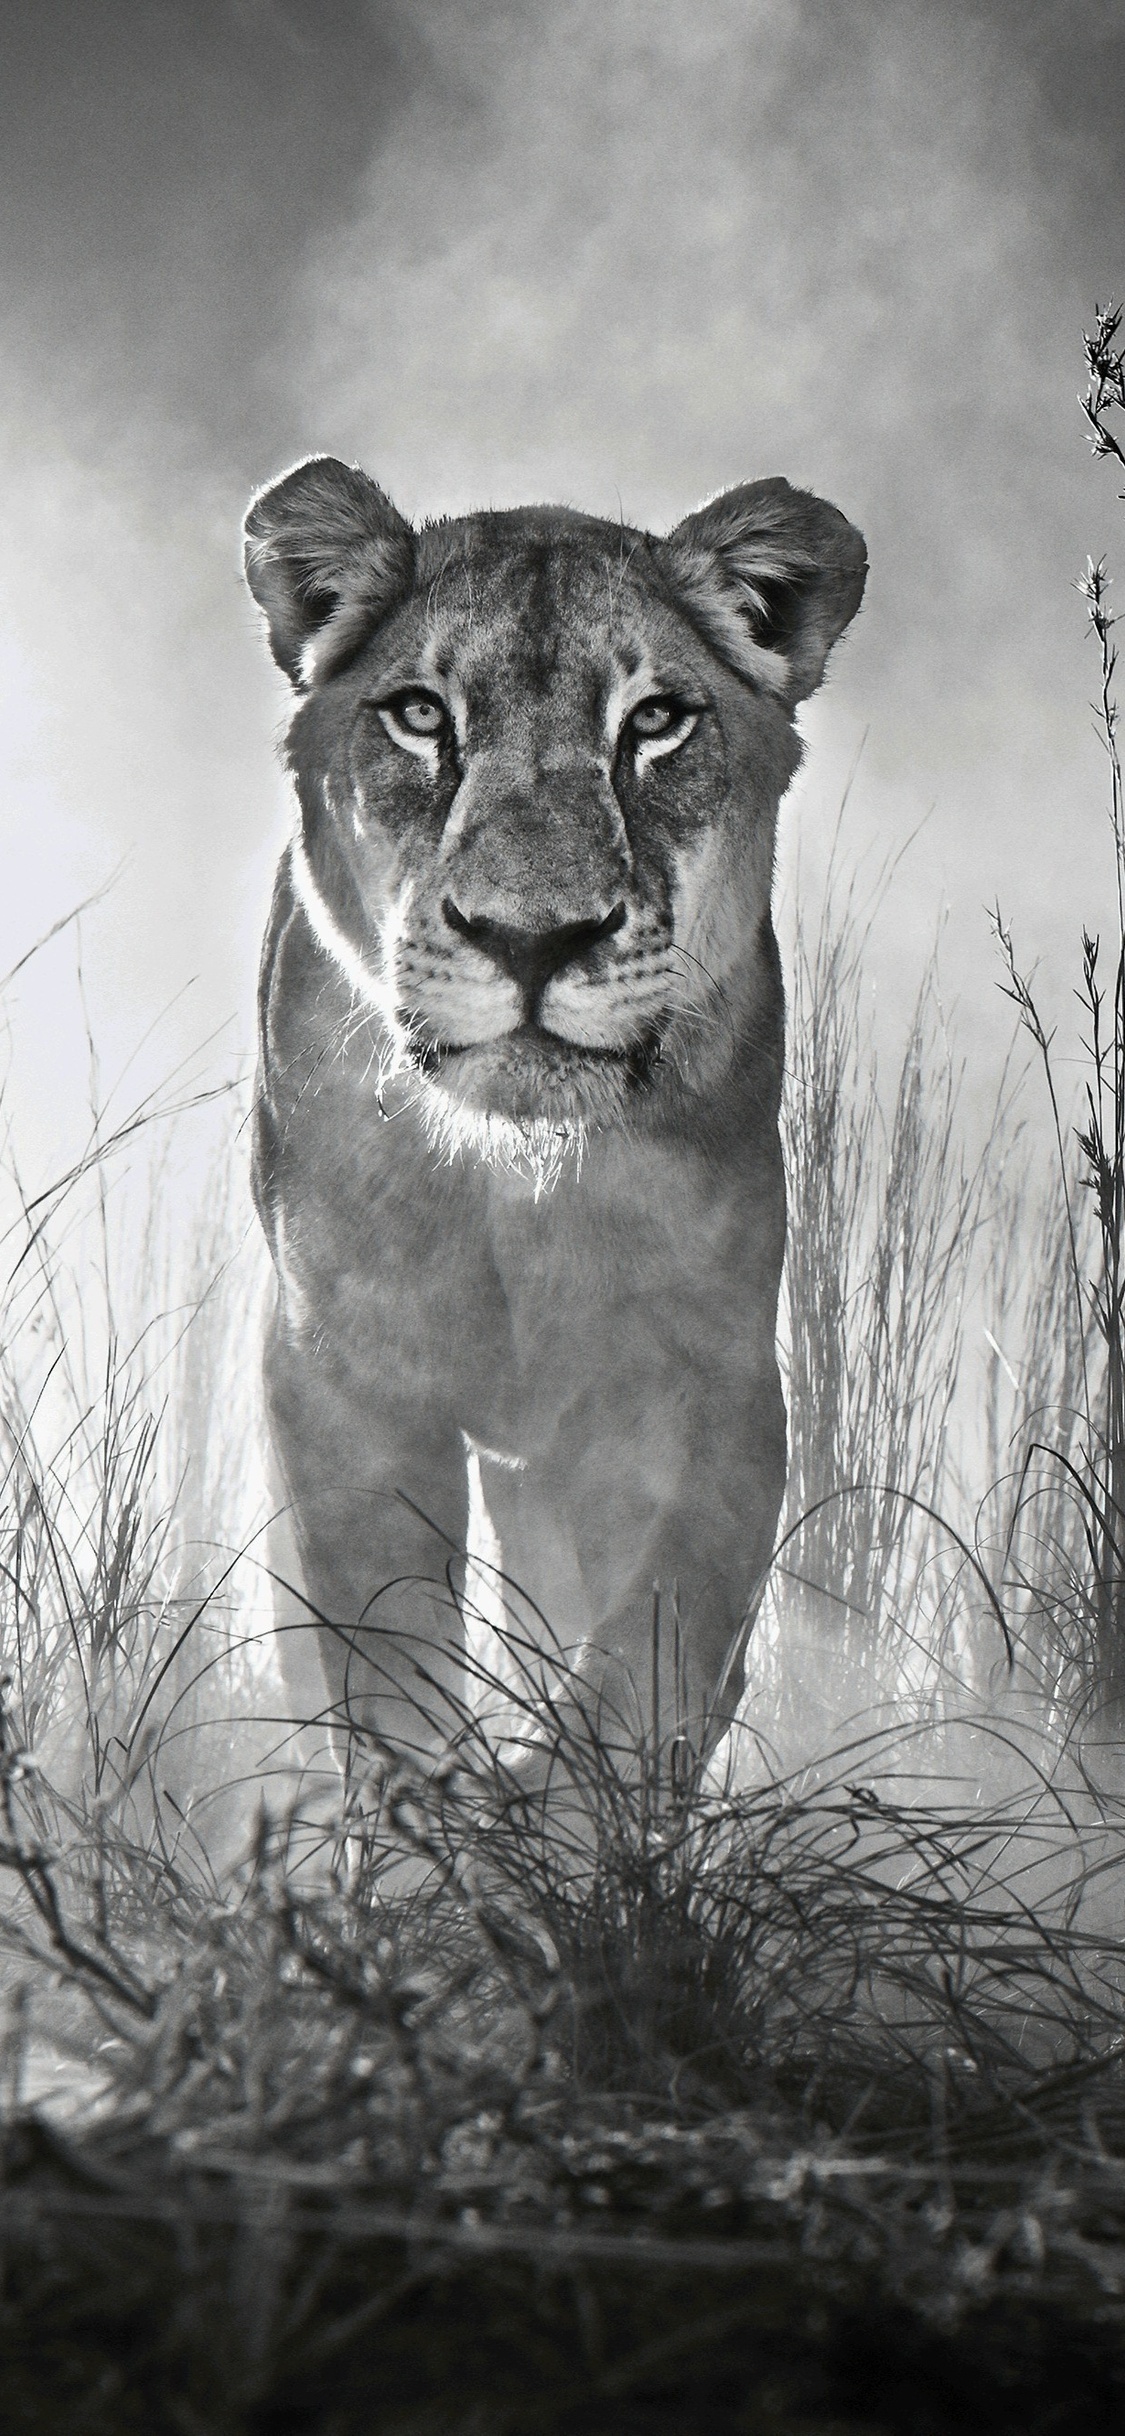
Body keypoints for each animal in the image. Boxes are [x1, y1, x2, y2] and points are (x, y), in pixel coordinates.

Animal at [243, 458, 866, 1782]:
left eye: (656, 721)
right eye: (420, 716)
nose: (532, 939)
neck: (516, 1187)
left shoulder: (710, 1379)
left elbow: (653, 1651)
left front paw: (562, 1813)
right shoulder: (340, 1375)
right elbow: (385, 1650)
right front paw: (430, 1821)